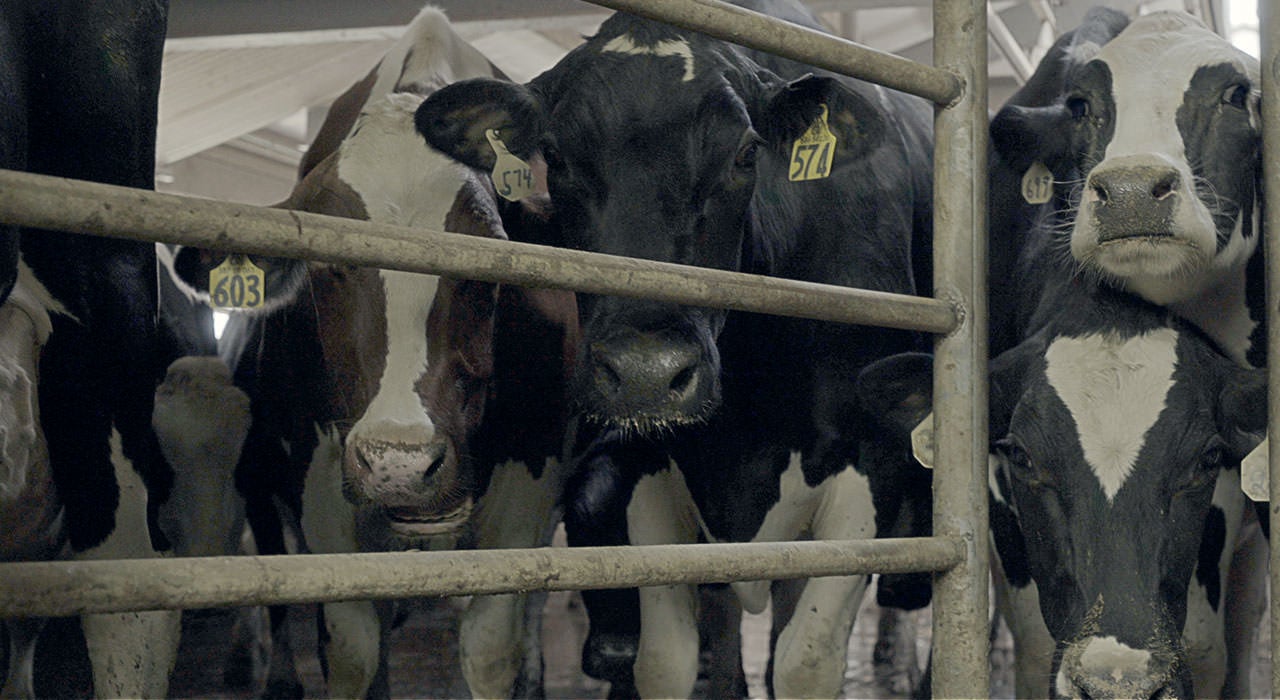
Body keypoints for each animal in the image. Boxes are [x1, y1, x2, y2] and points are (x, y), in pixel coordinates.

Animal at [414, 0, 935, 695]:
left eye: (746, 153)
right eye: (555, 155)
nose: (645, 373)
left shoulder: (871, 464)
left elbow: (805, 661)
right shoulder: (645, 464)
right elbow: (668, 661)